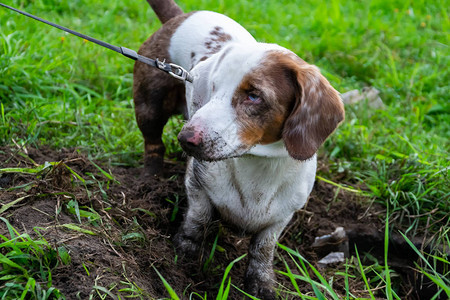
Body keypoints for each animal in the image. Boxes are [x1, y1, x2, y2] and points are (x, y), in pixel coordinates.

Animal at [133, 0, 344, 298]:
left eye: (254, 96)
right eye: (213, 86)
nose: (186, 139)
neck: (257, 165)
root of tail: (182, 15)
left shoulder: (282, 216)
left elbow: (263, 249)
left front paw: (262, 284)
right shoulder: (197, 184)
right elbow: (197, 221)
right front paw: (184, 254)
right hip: (149, 104)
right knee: (154, 146)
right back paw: (149, 181)